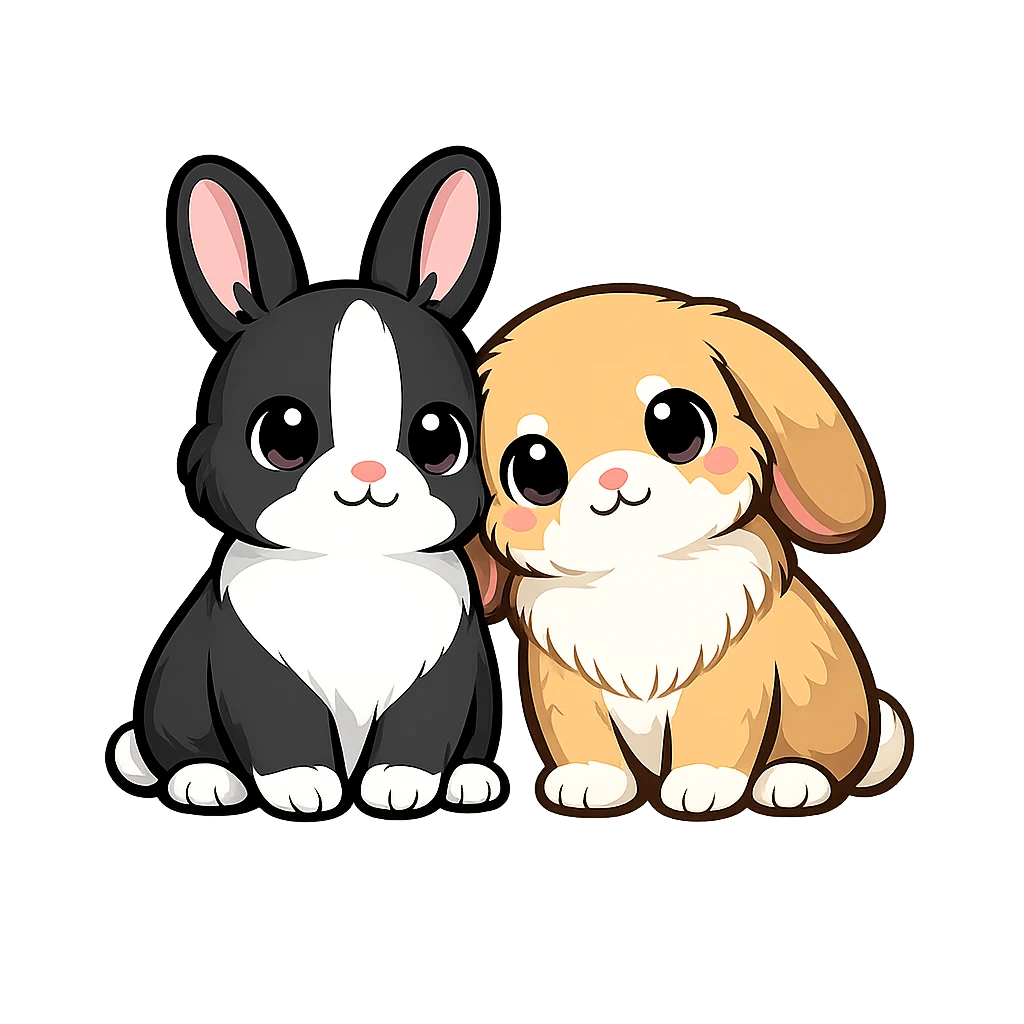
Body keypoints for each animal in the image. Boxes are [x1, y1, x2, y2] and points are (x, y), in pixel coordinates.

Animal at [107, 148, 508, 819]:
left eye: (440, 438)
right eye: (283, 434)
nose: (367, 475)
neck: (352, 565)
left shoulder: (443, 666)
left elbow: (421, 727)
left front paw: (400, 787)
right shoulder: (254, 663)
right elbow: (281, 727)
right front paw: (304, 790)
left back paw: (470, 779)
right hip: (174, 696)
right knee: (180, 744)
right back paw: (203, 781)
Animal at [464, 283, 912, 819]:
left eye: (677, 423)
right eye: (533, 470)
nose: (613, 477)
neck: (640, 574)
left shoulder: (731, 674)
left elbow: (714, 730)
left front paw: (703, 783)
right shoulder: (562, 680)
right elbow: (581, 733)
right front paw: (590, 781)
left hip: (823, 698)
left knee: (826, 752)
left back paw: (793, 779)